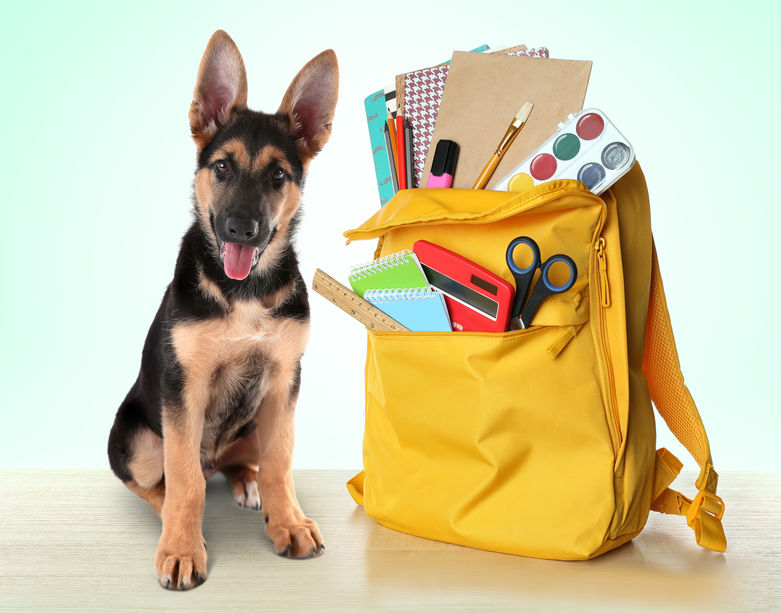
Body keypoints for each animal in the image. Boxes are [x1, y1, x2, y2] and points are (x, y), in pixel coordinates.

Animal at [106, 29, 336, 588]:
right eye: (223, 167)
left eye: (278, 175)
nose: (240, 229)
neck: (243, 292)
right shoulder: (183, 387)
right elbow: (185, 480)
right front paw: (182, 547)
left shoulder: (284, 380)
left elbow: (281, 463)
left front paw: (288, 521)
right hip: (135, 439)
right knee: (166, 479)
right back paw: (175, 518)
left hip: (254, 420)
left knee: (242, 463)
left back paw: (247, 483)